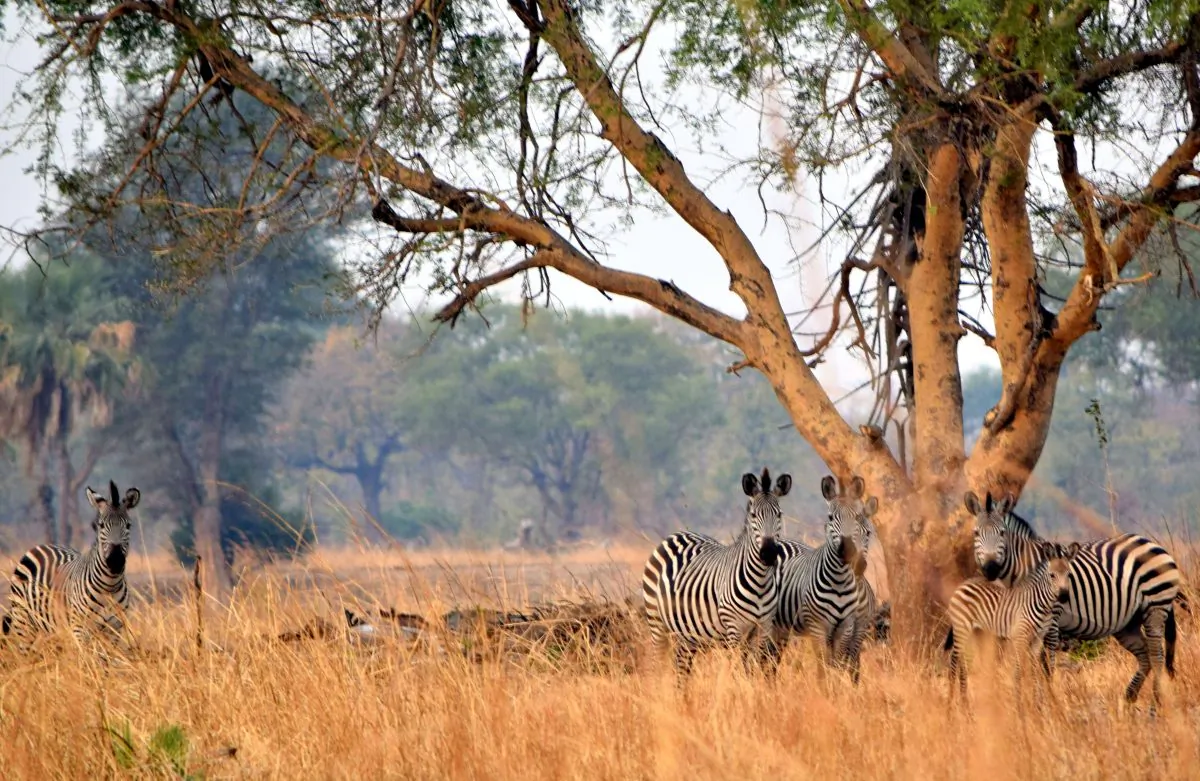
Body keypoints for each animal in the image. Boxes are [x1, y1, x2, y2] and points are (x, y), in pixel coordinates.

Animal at [3, 480, 140, 649]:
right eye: (101, 525)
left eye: (128, 526)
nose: (115, 560)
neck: (109, 586)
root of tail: (39, 546)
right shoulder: (79, 628)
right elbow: (87, 657)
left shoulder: (115, 629)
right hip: (23, 621)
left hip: (51, 627)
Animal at [642, 467, 791, 675]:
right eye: (753, 516)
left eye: (779, 515)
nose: (768, 553)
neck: (760, 582)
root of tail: (674, 535)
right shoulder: (734, 629)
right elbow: (738, 671)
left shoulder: (764, 628)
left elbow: (755, 670)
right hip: (656, 622)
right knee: (657, 665)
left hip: (688, 634)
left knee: (681, 668)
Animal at [774, 475, 878, 683]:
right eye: (830, 518)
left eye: (868, 533)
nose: (858, 563)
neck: (840, 583)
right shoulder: (818, 626)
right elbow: (824, 664)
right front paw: (825, 688)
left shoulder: (852, 629)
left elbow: (845, 665)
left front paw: (840, 688)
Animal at [945, 539, 1081, 699]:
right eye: (1052, 575)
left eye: (1069, 574)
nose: (1064, 596)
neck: (1042, 605)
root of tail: (964, 584)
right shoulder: (1019, 638)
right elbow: (1018, 671)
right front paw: (1018, 701)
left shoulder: (1037, 639)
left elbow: (1034, 670)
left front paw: (1038, 702)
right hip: (961, 628)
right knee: (953, 662)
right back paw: (950, 702)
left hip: (977, 632)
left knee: (964, 664)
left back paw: (965, 703)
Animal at [967, 490, 1183, 705]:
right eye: (976, 533)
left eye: (1002, 533)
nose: (990, 569)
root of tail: (1151, 542)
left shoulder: (1051, 620)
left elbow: (1046, 664)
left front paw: (1047, 703)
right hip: (1128, 622)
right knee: (1146, 656)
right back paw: (1128, 700)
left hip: (1155, 606)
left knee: (1157, 657)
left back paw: (1156, 705)